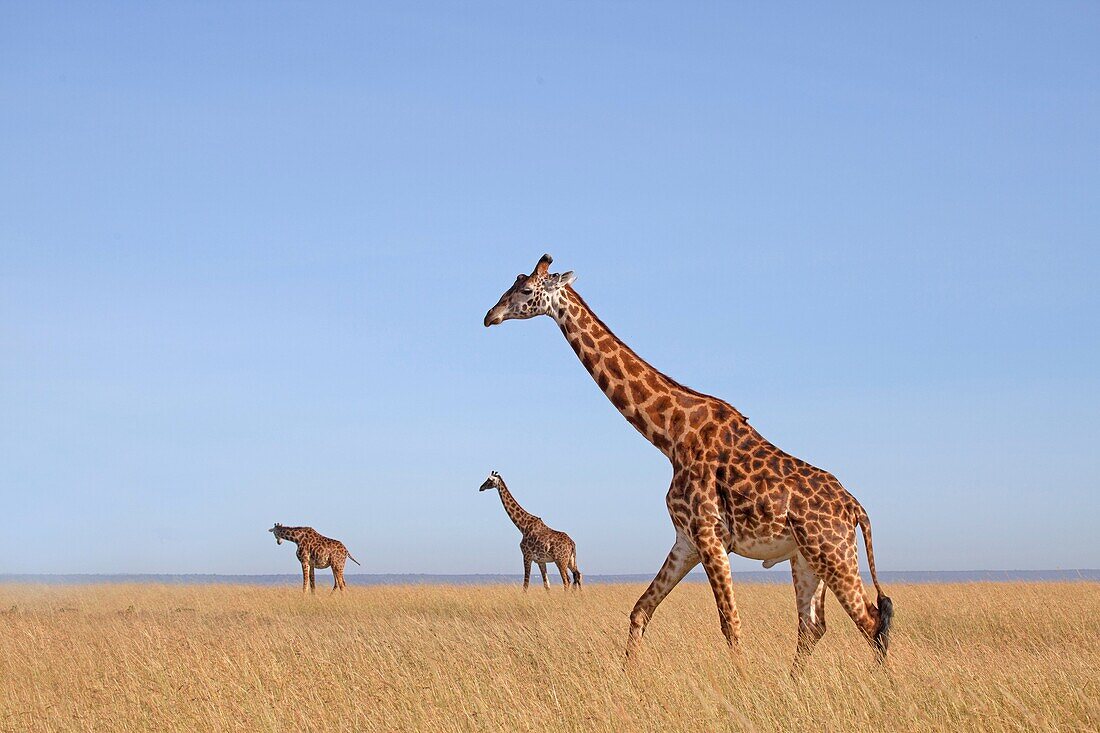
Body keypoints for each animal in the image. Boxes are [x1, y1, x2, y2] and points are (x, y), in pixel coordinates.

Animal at [484, 254, 893, 664]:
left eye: (525, 289)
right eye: (511, 283)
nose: (490, 315)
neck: (671, 436)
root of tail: (856, 510)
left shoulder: (709, 535)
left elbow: (731, 624)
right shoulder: (686, 540)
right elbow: (640, 610)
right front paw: (628, 674)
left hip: (833, 554)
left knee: (871, 620)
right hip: (806, 558)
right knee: (813, 626)